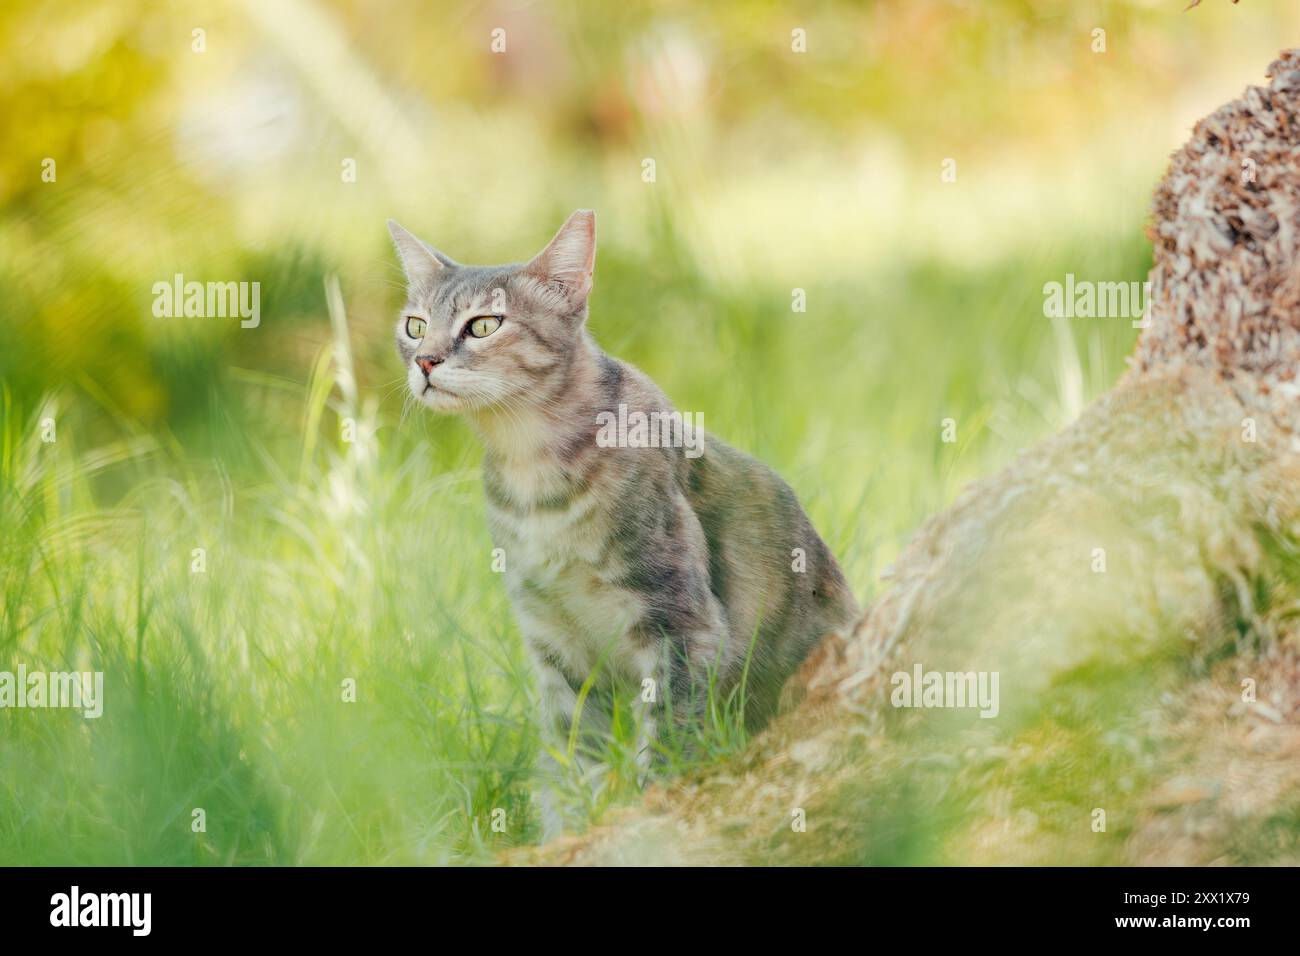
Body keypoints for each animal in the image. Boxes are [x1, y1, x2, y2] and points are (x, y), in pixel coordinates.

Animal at [387, 208, 863, 832]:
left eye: (484, 325)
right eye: (415, 326)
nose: (425, 360)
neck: (533, 475)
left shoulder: (683, 630)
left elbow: (665, 747)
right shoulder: (556, 646)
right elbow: (571, 764)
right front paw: (569, 831)